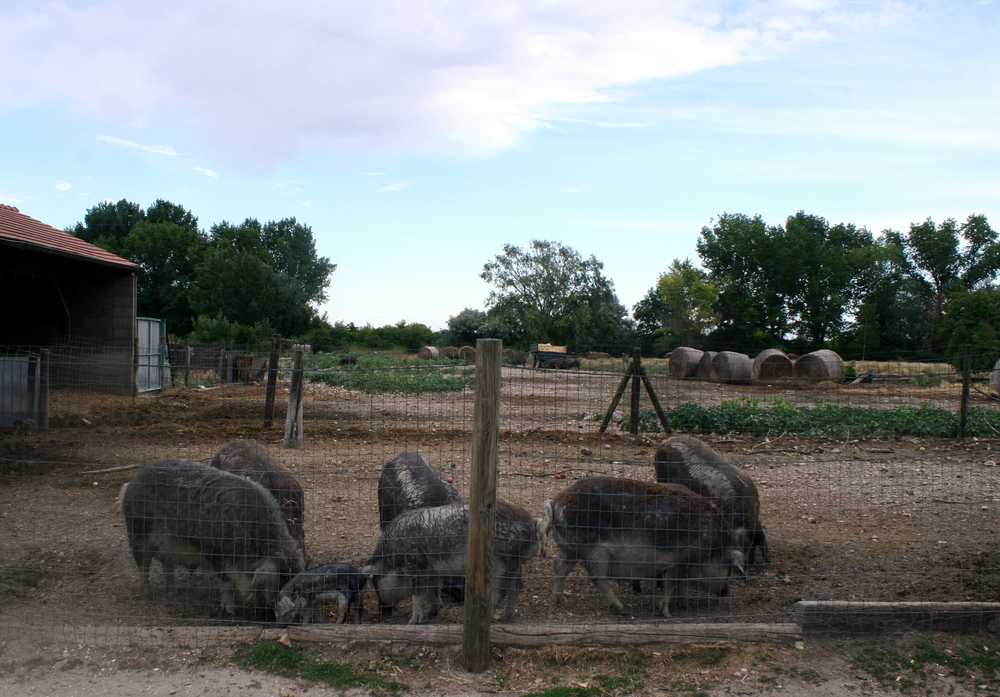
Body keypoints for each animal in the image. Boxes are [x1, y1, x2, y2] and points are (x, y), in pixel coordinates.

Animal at [119, 456, 304, 616]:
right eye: (281, 580)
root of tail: (131, 483)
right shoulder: (216, 554)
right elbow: (227, 583)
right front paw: (230, 611)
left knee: (167, 564)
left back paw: (175, 592)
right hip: (137, 532)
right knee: (143, 564)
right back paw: (146, 593)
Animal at [364, 498, 544, 624]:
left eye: (376, 584)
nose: (382, 609)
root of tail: (532, 522)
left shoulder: (417, 566)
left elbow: (418, 596)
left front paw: (412, 622)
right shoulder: (432, 571)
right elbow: (433, 591)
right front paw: (433, 613)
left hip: (501, 563)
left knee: (500, 592)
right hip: (515, 564)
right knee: (517, 588)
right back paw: (505, 619)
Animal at [548, 476, 744, 616]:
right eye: (730, 569)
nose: (726, 592)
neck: (714, 547)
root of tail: (556, 501)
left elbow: (679, 584)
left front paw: (684, 606)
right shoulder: (683, 558)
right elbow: (671, 583)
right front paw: (666, 613)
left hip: (569, 548)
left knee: (559, 565)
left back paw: (561, 601)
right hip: (593, 550)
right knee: (596, 577)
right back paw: (621, 608)